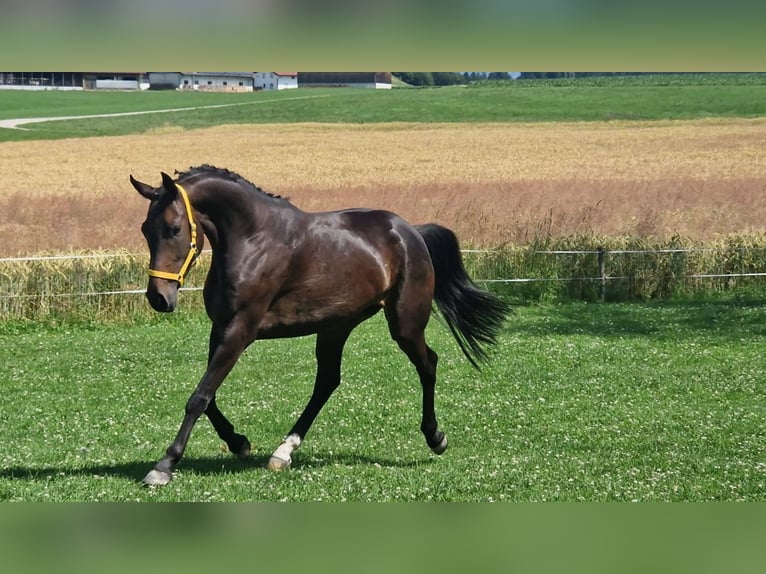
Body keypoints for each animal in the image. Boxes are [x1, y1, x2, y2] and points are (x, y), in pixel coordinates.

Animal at [130, 165, 510, 486]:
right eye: (145, 229)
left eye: (174, 229)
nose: (159, 298)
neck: (253, 240)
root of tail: (410, 232)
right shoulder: (221, 328)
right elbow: (209, 397)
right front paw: (239, 443)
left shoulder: (241, 329)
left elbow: (199, 397)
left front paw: (164, 466)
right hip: (335, 326)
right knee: (327, 381)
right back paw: (284, 452)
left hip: (405, 324)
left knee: (427, 364)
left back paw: (435, 437)